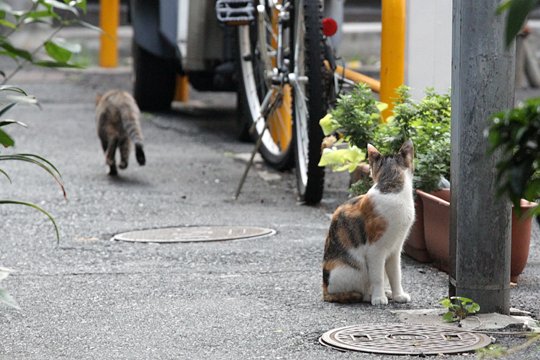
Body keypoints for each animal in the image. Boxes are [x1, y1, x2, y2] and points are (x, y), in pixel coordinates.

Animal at [322, 140, 416, 304]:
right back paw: (372, 295)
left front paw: (398, 295)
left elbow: (395, 275)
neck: (392, 188)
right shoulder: (375, 249)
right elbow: (377, 277)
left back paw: (388, 293)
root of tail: (324, 290)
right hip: (351, 269)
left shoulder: (395, 249)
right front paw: (379, 298)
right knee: (361, 289)